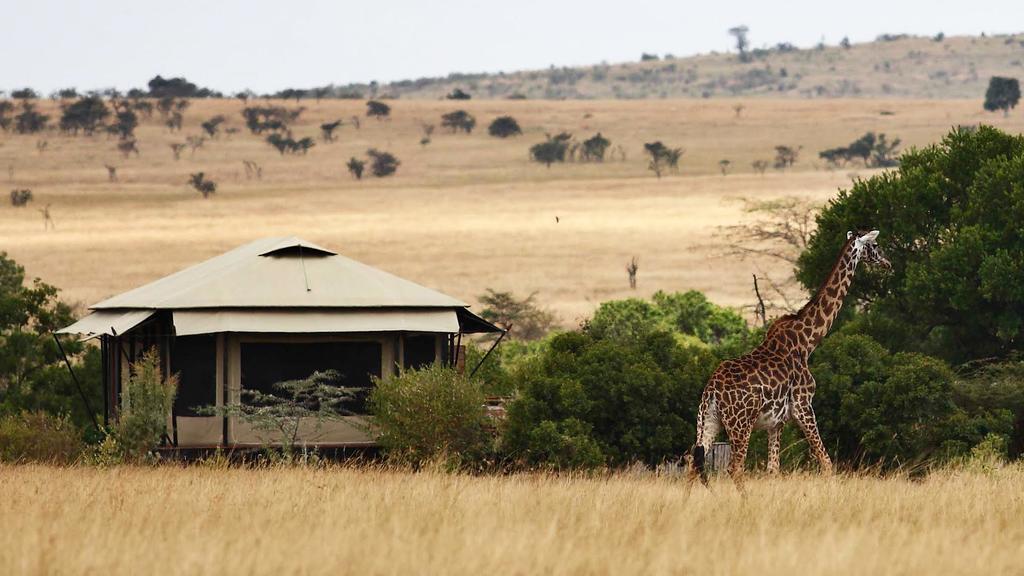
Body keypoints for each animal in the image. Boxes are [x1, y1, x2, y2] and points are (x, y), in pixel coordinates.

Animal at [692, 227, 892, 479]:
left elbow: (773, 469)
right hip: (740, 424)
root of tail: (712, 391)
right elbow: (826, 462)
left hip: (708, 421)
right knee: (734, 468)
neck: (807, 342)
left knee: (692, 463)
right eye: (875, 246)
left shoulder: (776, 422)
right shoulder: (803, 405)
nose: (888, 263)